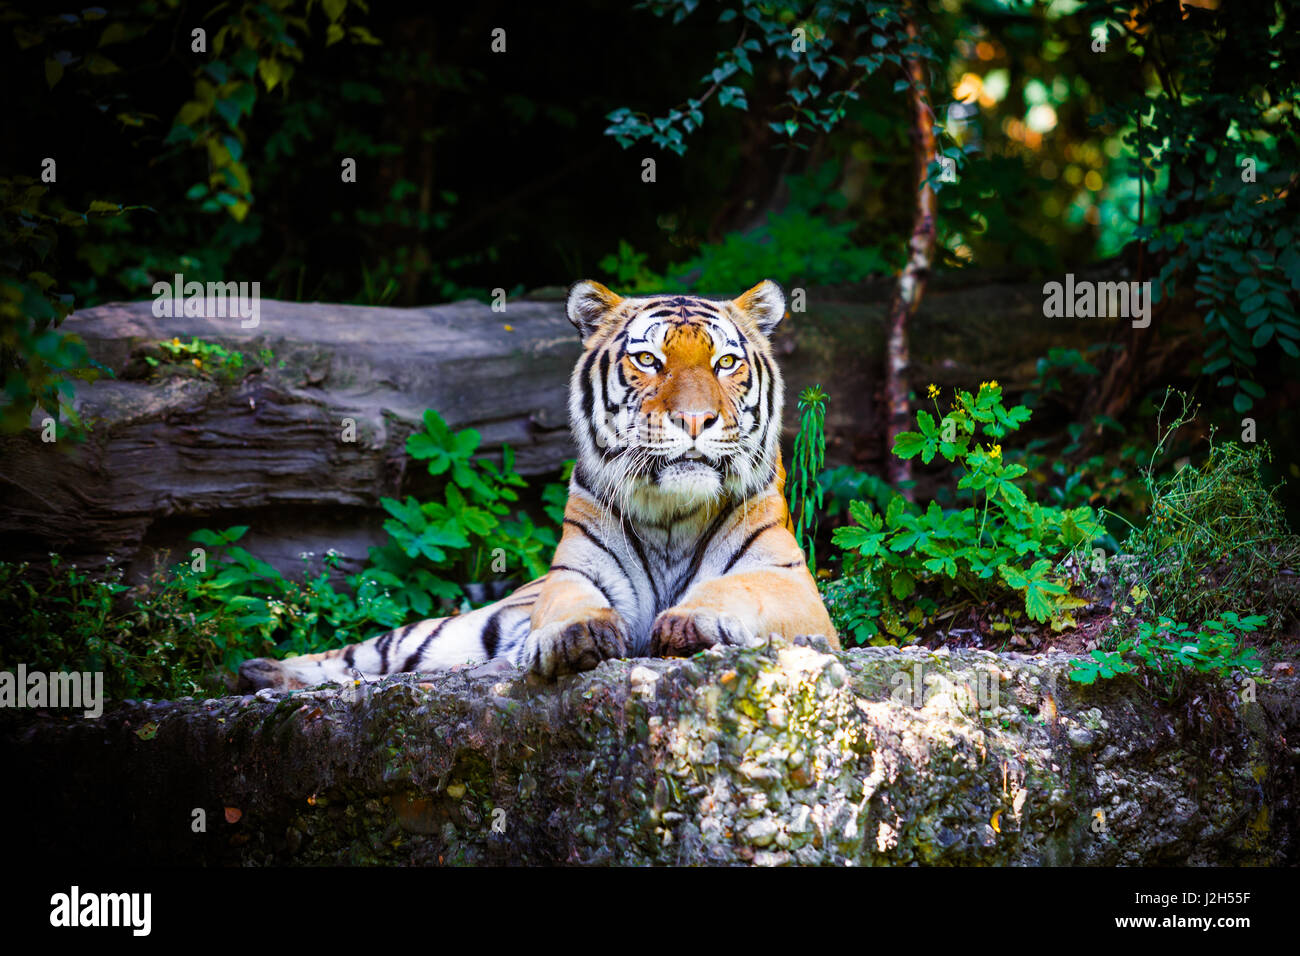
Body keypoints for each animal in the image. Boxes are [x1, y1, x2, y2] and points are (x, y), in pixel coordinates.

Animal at [237, 280, 837, 691]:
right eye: (648, 359)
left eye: (726, 362)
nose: (693, 420)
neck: (673, 516)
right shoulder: (575, 572)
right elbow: (572, 602)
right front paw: (575, 635)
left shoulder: (791, 584)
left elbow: (737, 588)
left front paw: (692, 620)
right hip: (452, 631)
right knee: (365, 653)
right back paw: (262, 671)